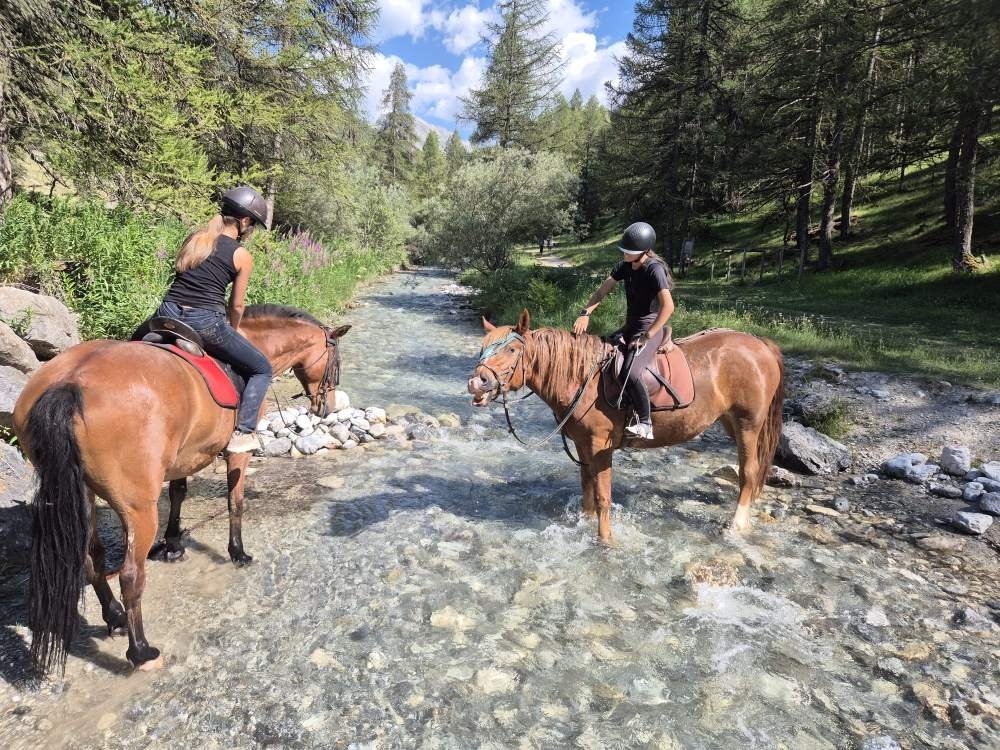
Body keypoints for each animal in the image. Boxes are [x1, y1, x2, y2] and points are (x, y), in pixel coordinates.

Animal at [13, 304, 350, 674]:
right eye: (336, 363)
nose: (326, 407)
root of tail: (70, 382)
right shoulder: (238, 453)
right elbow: (235, 502)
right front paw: (237, 552)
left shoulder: (183, 457)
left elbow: (178, 494)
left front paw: (173, 545)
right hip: (137, 507)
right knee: (130, 575)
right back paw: (141, 651)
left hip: (82, 494)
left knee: (91, 556)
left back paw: (115, 616)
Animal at [467, 310, 784, 543]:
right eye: (483, 348)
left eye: (511, 349)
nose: (476, 382)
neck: (583, 379)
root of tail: (760, 344)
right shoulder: (582, 444)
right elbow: (587, 489)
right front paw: (584, 523)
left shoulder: (600, 446)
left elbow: (603, 495)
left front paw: (606, 541)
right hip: (729, 421)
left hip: (748, 424)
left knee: (749, 472)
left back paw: (736, 524)